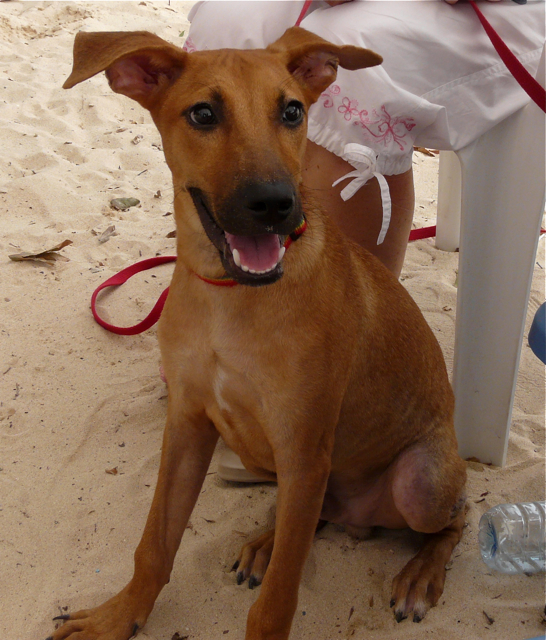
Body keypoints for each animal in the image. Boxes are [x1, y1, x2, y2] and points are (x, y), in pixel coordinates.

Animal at [47, 26, 464, 640]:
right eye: (202, 113)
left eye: (292, 111)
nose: (274, 205)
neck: (230, 296)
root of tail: (362, 518)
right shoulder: (188, 423)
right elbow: (154, 543)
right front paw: (118, 615)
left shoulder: (303, 448)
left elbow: (275, 605)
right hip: (265, 455)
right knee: (312, 519)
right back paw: (269, 542)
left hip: (420, 483)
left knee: (454, 519)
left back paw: (419, 573)